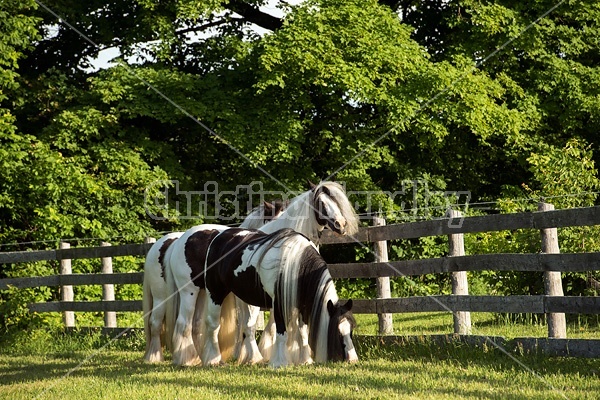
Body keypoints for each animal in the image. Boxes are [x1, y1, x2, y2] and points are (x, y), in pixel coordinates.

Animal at [144, 202, 288, 364]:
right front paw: (251, 356)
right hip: (164, 296)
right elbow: (247, 325)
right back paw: (159, 357)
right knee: (158, 323)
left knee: (193, 325)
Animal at [199, 227, 358, 368]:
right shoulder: (279, 305)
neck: (298, 264)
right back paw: (213, 360)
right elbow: (282, 334)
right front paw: (280, 363)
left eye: (351, 330)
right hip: (215, 293)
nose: (353, 359)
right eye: (337, 332)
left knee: (248, 327)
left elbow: (303, 334)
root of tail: (218, 236)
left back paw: (254, 359)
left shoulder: (302, 306)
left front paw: (306, 360)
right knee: (213, 325)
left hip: (245, 298)